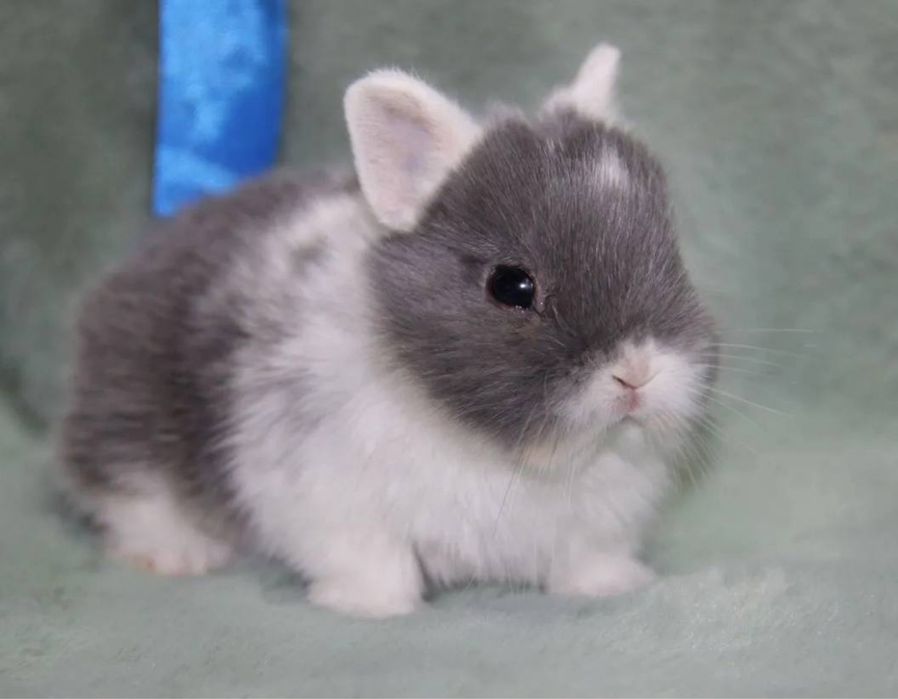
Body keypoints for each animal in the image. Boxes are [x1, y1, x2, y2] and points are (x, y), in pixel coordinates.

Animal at [61, 43, 717, 618]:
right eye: (512, 286)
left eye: (671, 254)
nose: (637, 372)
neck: (504, 454)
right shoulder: (331, 501)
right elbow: (375, 562)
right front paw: (371, 609)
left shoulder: (597, 524)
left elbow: (588, 559)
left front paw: (613, 587)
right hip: (131, 425)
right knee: (127, 490)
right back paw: (180, 555)